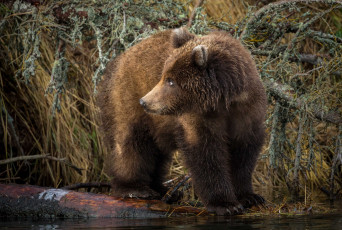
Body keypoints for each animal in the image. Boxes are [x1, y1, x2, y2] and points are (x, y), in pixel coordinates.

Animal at [96, 27, 268, 216]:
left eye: (171, 81)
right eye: (163, 76)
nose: (145, 101)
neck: (223, 104)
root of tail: (117, 61)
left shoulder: (247, 113)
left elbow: (244, 153)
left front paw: (249, 197)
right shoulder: (198, 117)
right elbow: (205, 153)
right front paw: (225, 203)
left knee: (157, 152)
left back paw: (162, 189)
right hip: (127, 99)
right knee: (132, 143)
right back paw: (135, 188)